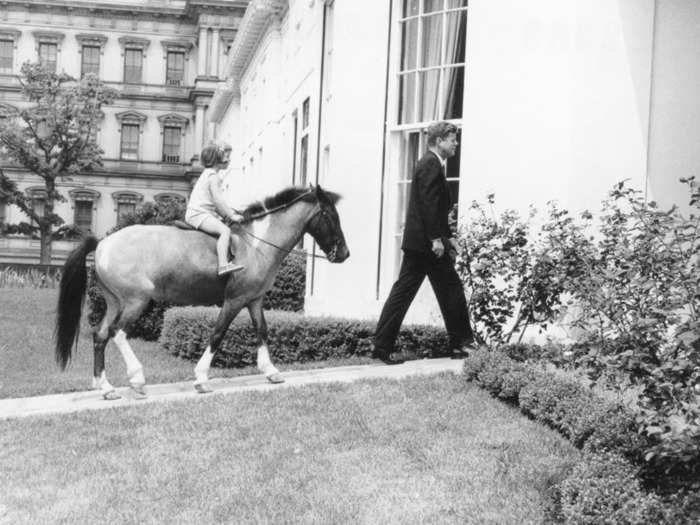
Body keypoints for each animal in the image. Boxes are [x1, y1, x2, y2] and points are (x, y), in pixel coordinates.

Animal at [54, 184, 350, 398]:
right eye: (331, 216)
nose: (345, 254)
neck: (255, 244)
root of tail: (102, 243)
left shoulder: (254, 300)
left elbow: (262, 331)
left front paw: (271, 371)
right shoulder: (234, 300)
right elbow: (217, 334)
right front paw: (201, 378)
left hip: (116, 302)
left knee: (101, 335)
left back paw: (105, 387)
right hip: (135, 301)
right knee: (118, 333)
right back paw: (137, 379)